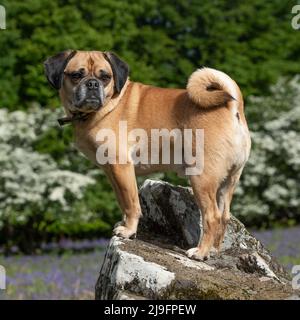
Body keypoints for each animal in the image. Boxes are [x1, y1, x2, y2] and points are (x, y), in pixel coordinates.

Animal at [44, 50, 251, 260]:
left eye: (105, 77)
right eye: (76, 75)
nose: (93, 84)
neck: (109, 104)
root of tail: (233, 109)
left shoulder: (121, 167)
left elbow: (131, 203)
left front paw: (128, 231)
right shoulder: (113, 173)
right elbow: (122, 201)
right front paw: (124, 224)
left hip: (201, 178)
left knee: (212, 216)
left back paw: (200, 252)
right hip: (228, 182)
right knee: (224, 216)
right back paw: (214, 250)